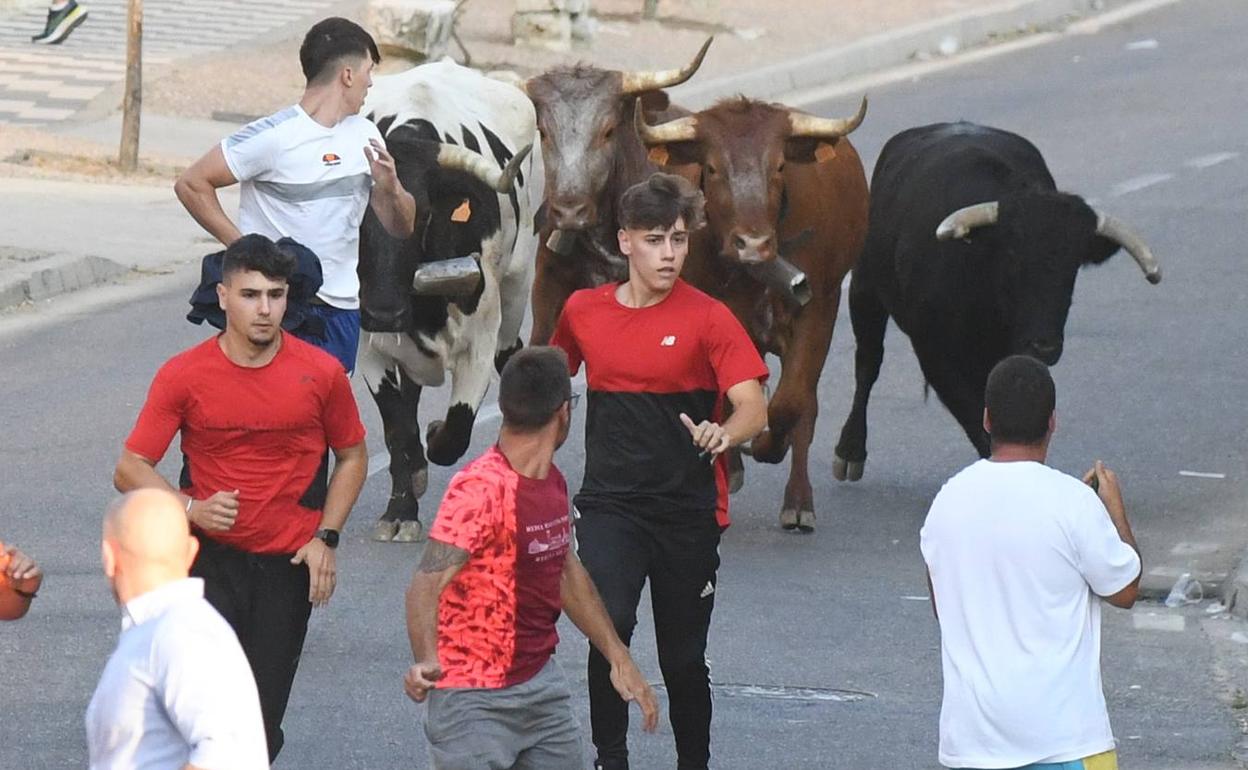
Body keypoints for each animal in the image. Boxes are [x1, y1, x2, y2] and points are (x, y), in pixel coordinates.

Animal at [359, 59, 539, 541]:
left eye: (422, 214)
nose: (383, 312)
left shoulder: (479, 340)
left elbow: (455, 430)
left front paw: (437, 432)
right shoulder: (366, 345)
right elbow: (398, 429)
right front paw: (401, 509)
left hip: (518, 283)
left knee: (511, 354)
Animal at [638, 94, 873, 529]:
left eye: (779, 165)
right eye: (712, 167)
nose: (752, 244)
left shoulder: (818, 311)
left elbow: (790, 402)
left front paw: (766, 447)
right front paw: (731, 461)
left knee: (804, 404)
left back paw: (798, 500)